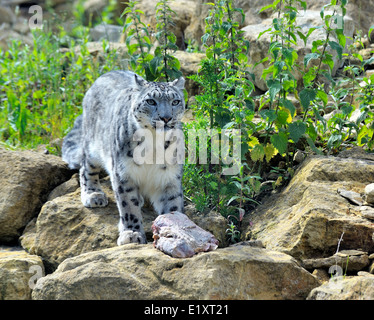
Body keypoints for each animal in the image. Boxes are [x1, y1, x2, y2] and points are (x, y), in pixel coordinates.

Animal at [62, 70, 186, 245]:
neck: (154, 143)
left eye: (175, 101)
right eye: (150, 101)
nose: (166, 118)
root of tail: (106, 73)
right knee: (86, 168)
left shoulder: (169, 177)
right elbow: (128, 206)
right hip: (93, 147)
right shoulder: (123, 174)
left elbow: (173, 205)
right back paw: (93, 195)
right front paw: (132, 234)